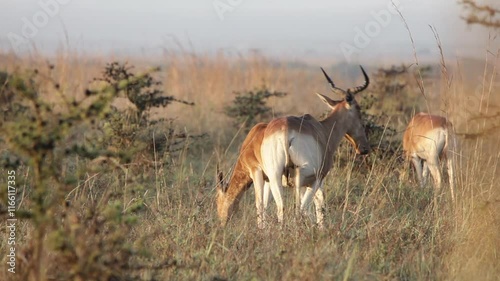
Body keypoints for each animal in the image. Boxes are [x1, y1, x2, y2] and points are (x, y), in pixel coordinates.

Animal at [216, 65, 372, 228]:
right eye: (359, 110)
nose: (364, 148)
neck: (322, 129)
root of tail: (286, 130)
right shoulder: (317, 178)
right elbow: (318, 204)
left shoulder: (265, 177)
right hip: (303, 174)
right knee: (299, 208)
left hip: (275, 175)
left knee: (281, 207)